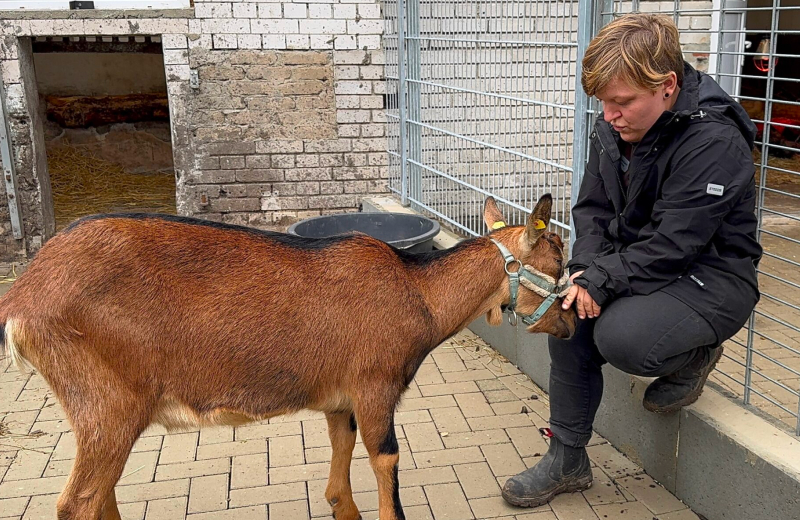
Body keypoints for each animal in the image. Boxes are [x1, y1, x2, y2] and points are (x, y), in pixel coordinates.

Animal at [0, 194, 575, 520]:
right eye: (559, 259)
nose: (572, 320)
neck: (419, 296)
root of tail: (21, 296)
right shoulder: (375, 386)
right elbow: (386, 464)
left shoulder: (340, 399)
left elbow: (340, 474)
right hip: (106, 399)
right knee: (78, 501)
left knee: (100, 493)